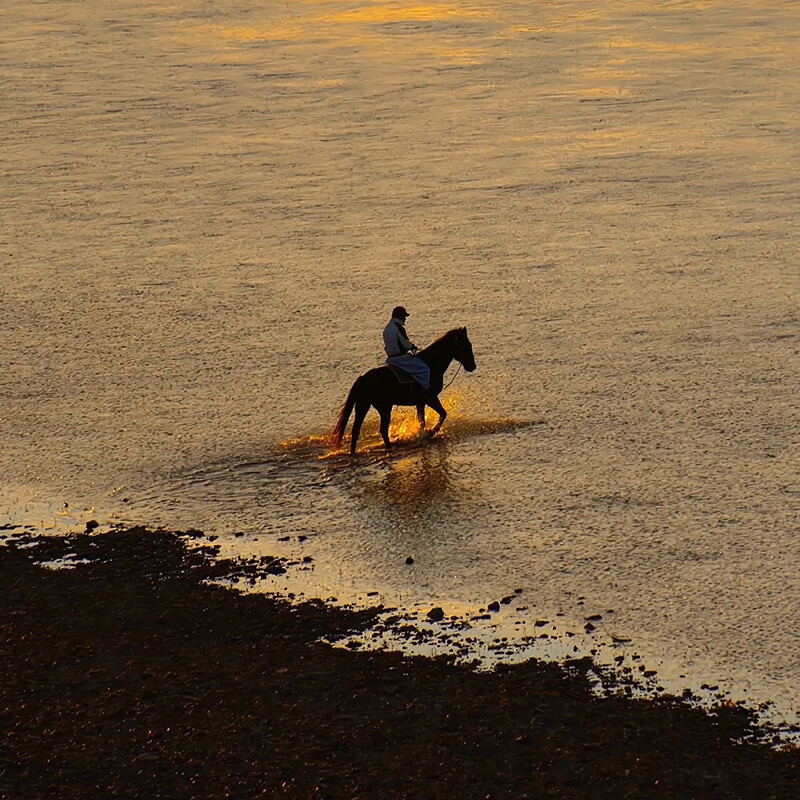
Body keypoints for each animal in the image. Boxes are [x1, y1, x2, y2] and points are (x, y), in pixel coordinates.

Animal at [332, 326, 476, 454]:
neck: (431, 365)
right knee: (380, 430)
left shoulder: (424, 400)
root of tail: (363, 378)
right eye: (467, 346)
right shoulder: (427, 398)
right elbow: (432, 418)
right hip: (382, 407)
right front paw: (427, 434)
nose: (472, 366)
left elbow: (436, 415)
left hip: (365, 406)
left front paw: (427, 433)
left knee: (358, 430)